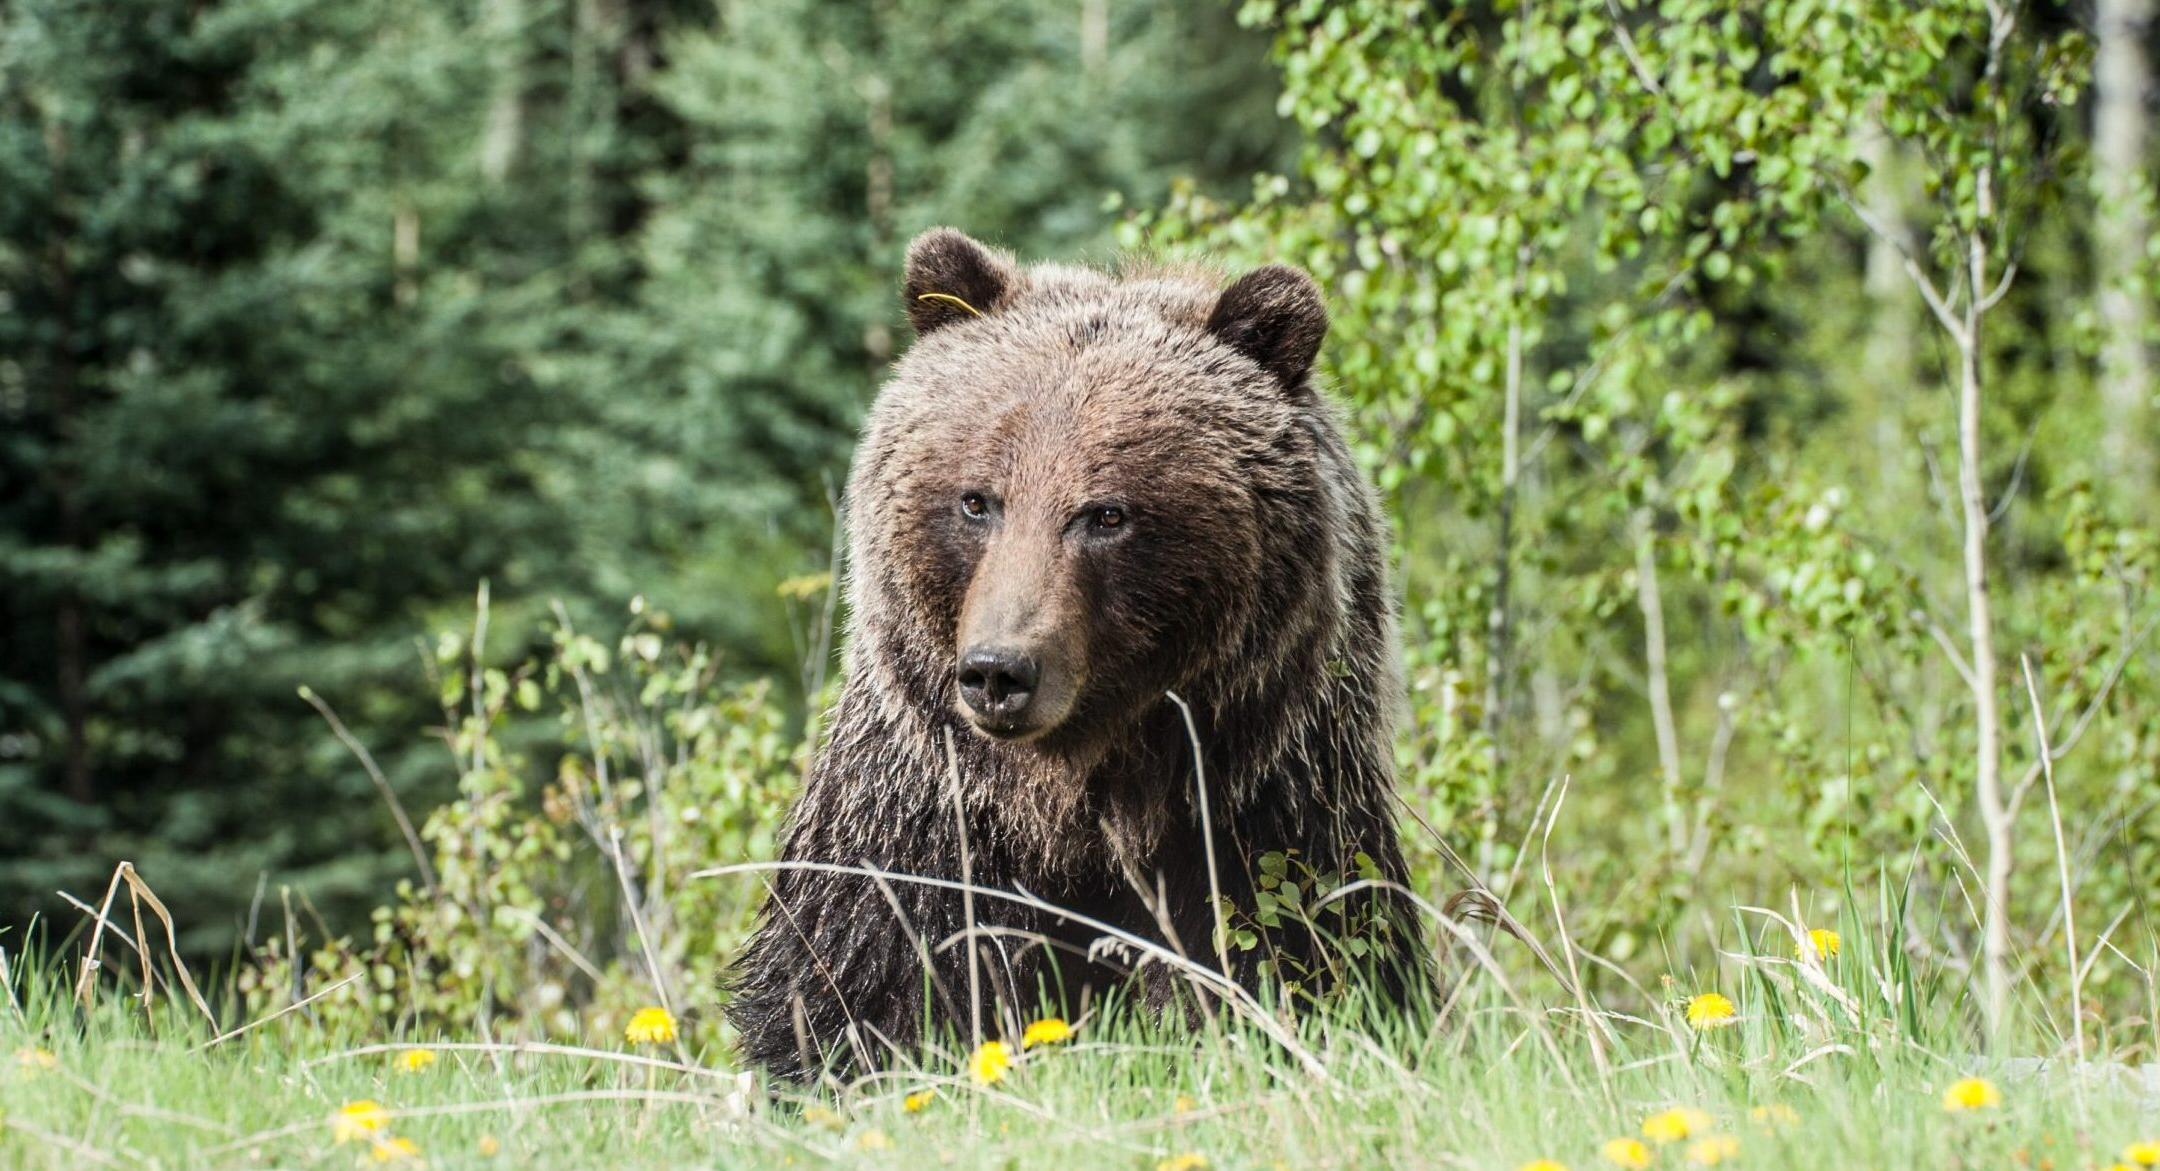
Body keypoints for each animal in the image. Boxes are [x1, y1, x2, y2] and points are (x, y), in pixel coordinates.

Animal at [726, 228, 1430, 1081]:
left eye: (1106, 514)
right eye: (977, 500)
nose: (999, 671)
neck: (1077, 799)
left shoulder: (1258, 809)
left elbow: (1298, 958)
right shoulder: (926, 819)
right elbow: (862, 984)